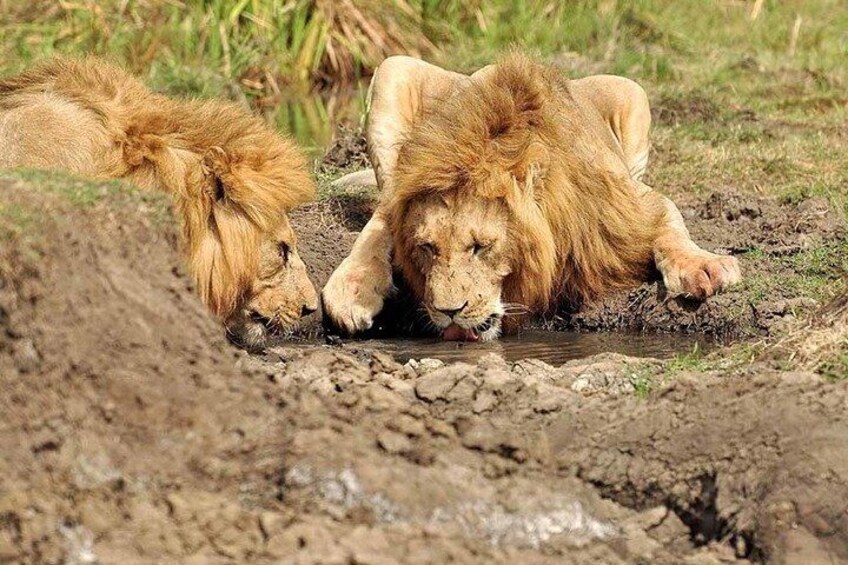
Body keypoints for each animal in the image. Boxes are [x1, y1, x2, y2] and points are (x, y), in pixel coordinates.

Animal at [322, 54, 741, 341]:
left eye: (481, 247)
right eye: (426, 248)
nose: (448, 311)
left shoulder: (628, 202)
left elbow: (670, 215)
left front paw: (703, 266)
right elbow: (382, 224)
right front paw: (354, 288)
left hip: (630, 91)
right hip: (393, 70)